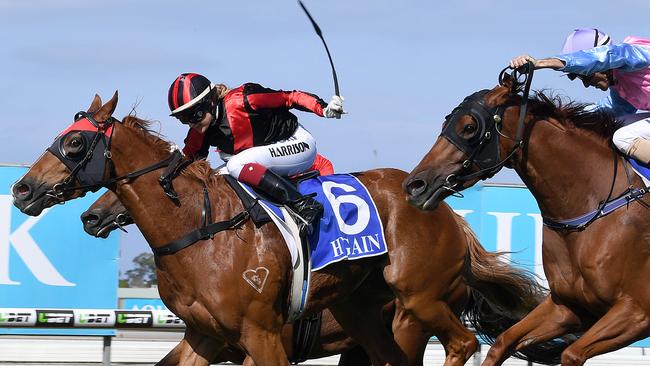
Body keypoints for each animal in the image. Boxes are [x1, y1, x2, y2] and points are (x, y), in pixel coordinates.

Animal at [402, 70, 648, 364]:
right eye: (447, 122)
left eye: (469, 127)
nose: (415, 185)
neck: (593, 206)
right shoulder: (569, 307)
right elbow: (503, 342)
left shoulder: (635, 311)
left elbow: (571, 354)